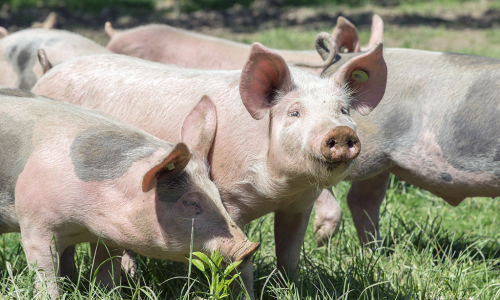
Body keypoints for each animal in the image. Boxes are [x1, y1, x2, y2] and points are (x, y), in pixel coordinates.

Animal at [0, 87, 258, 298]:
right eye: (191, 202)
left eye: (217, 194)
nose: (249, 248)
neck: (84, 223)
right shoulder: (35, 225)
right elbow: (45, 274)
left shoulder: (109, 237)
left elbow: (106, 271)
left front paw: (109, 293)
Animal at [33, 42, 388, 300]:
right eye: (294, 112)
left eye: (344, 110)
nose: (340, 133)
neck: (279, 189)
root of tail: (49, 72)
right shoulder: (228, 199)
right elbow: (241, 260)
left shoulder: (299, 204)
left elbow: (289, 254)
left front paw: (291, 289)